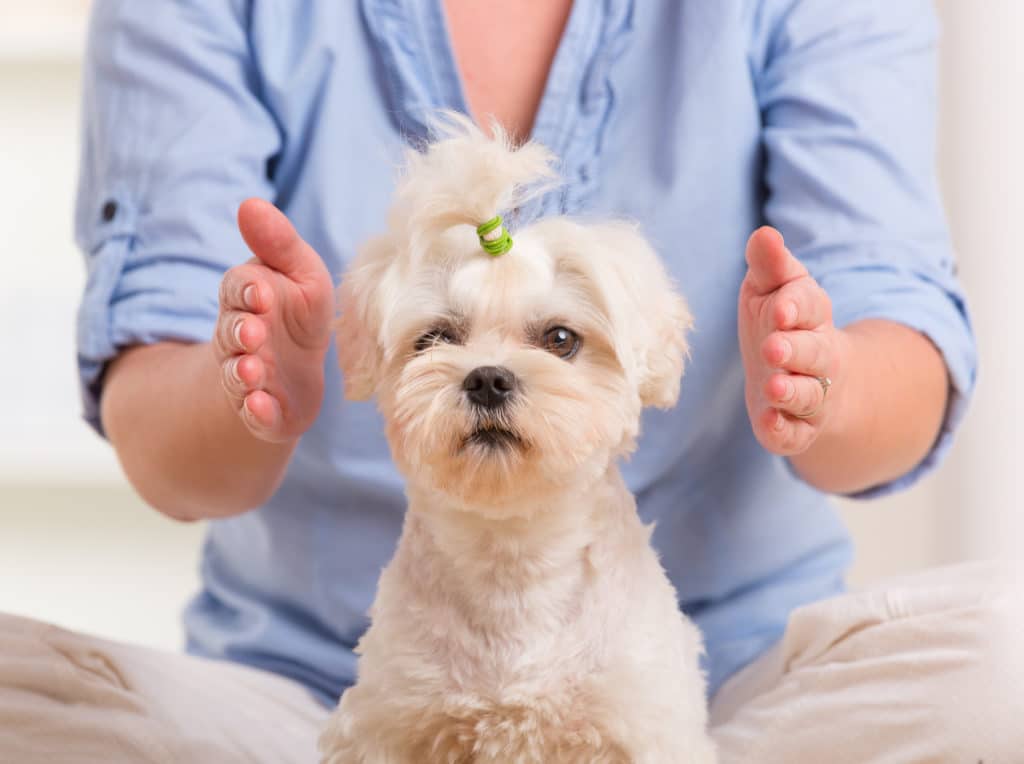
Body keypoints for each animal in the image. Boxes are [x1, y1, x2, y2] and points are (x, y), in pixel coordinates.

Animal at [319, 114, 712, 761]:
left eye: (560, 339)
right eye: (435, 339)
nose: (487, 378)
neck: (512, 563)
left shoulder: (640, 723)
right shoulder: (390, 722)